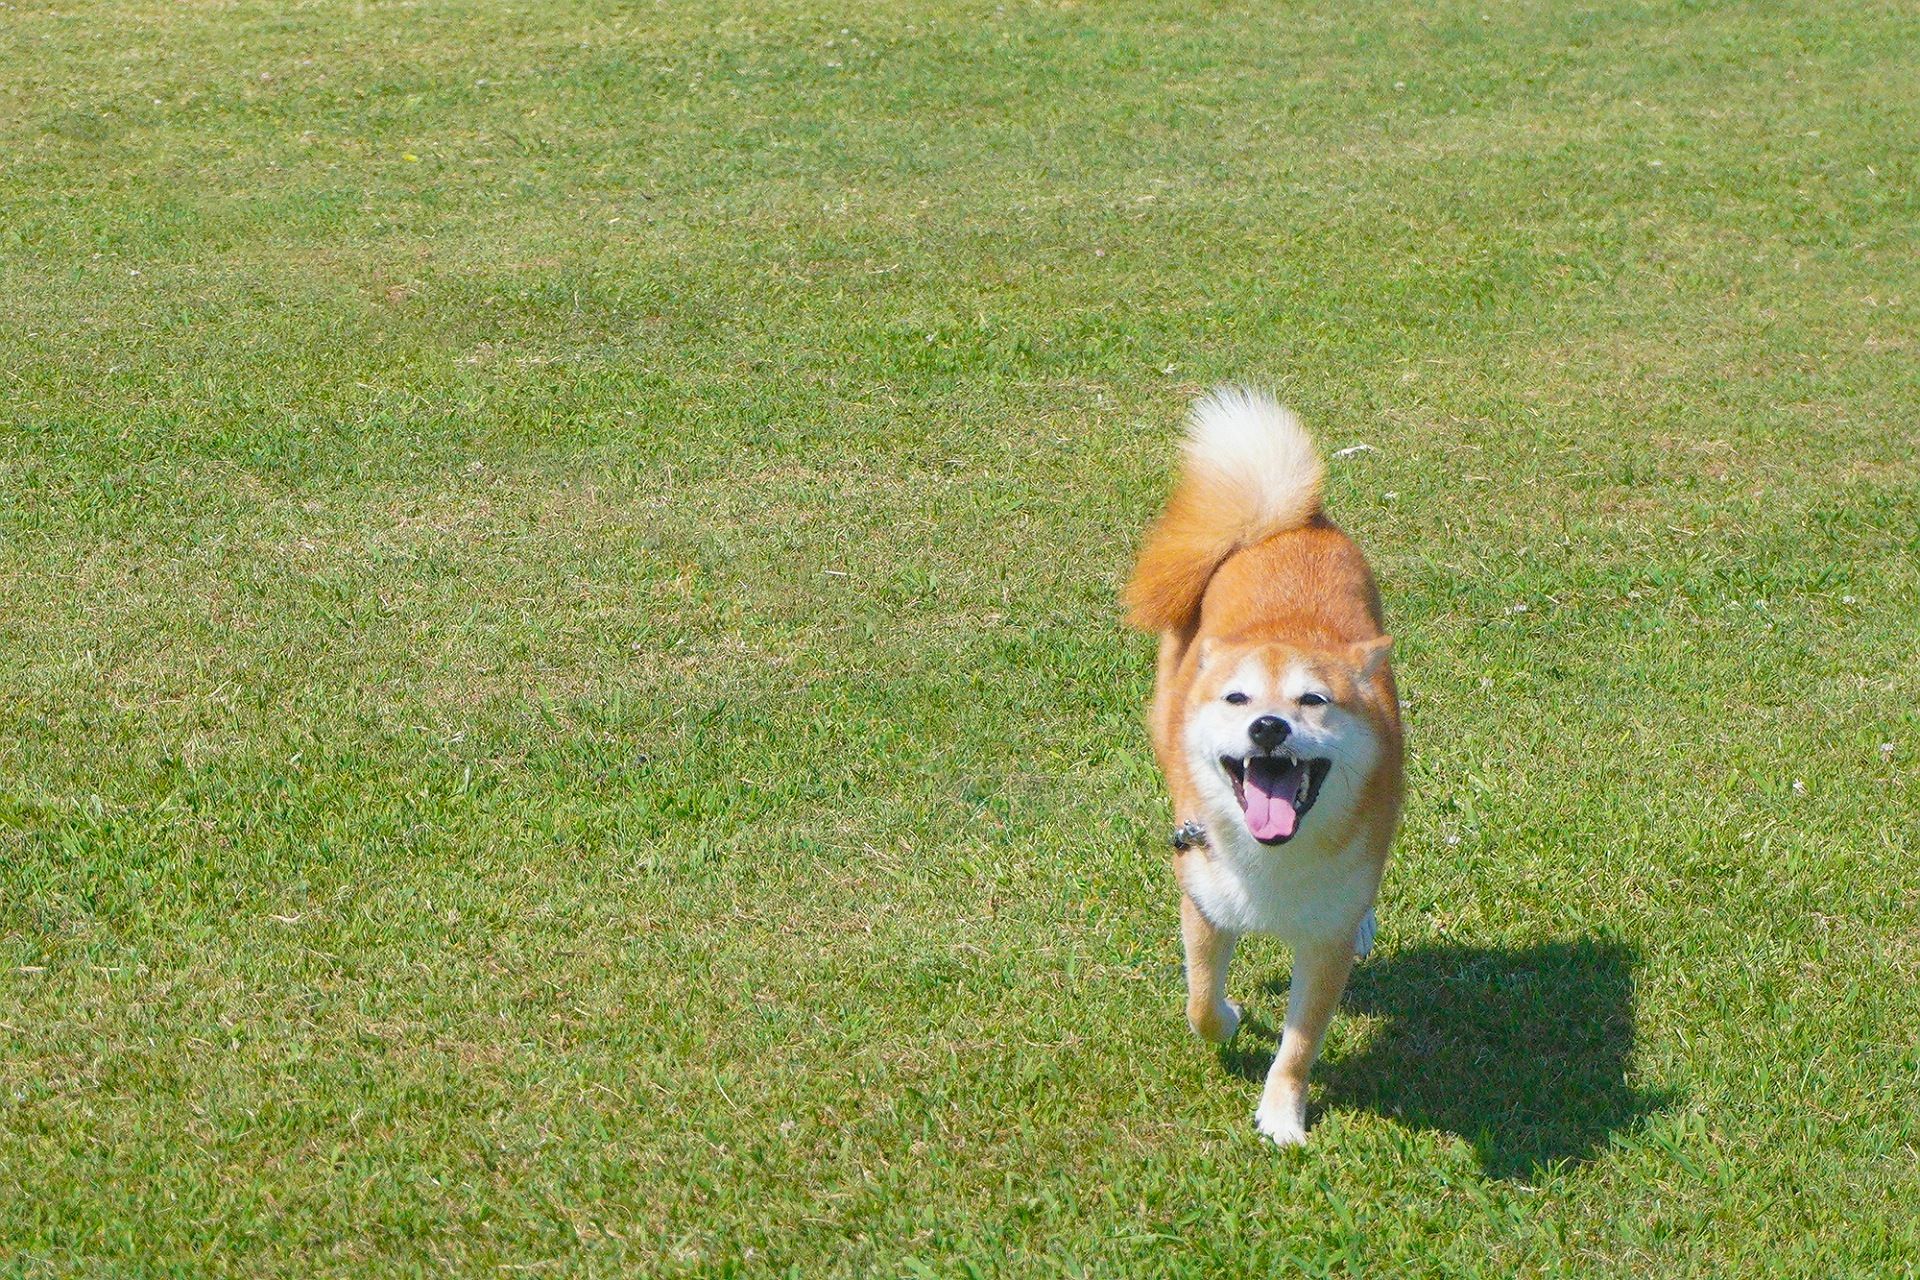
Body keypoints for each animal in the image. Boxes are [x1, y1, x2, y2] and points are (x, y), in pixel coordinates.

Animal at [1121, 385, 1413, 1143]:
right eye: (1238, 698)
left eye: (1313, 700)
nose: (1269, 726)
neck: (1272, 861)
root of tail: (1282, 524)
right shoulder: (1203, 900)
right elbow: (1198, 1000)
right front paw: (1226, 1022)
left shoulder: (1323, 943)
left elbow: (1299, 1045)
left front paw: (1282, 1113)